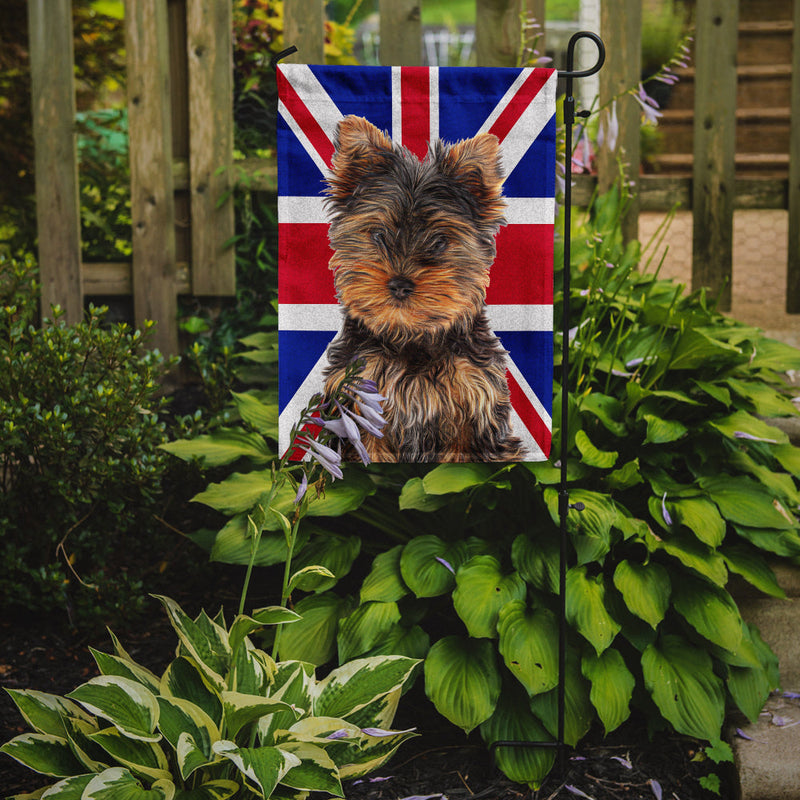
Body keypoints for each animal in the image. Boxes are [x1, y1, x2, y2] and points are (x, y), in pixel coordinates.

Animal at [318, 114, 524, 462]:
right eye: (379, 235)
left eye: (439, 242)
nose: (400, 284)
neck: (411, 339)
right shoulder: (360, 403)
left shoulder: (474, 402)